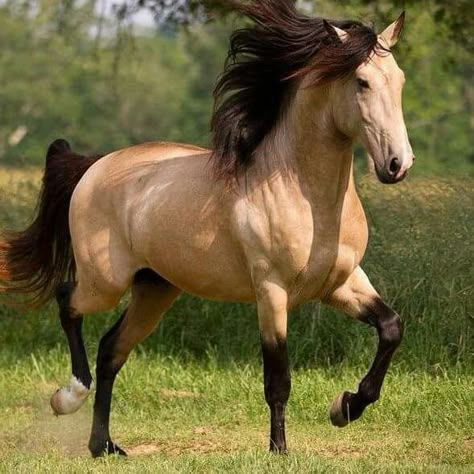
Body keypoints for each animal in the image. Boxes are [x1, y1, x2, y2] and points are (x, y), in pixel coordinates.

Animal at [0, 0, 414, 460]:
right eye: (361, 82)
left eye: (399, 79)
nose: (397, 164)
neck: (304, 195)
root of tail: (94, 167)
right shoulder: (272, 292)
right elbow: (278, 380)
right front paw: (279, 450)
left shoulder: (341, 283)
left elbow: (391, 328)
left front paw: (345, 407)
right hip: (105, 281)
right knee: (67, 302)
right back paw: (68, 397)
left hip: (155, 289)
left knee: (111, 349)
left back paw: (104, 445)